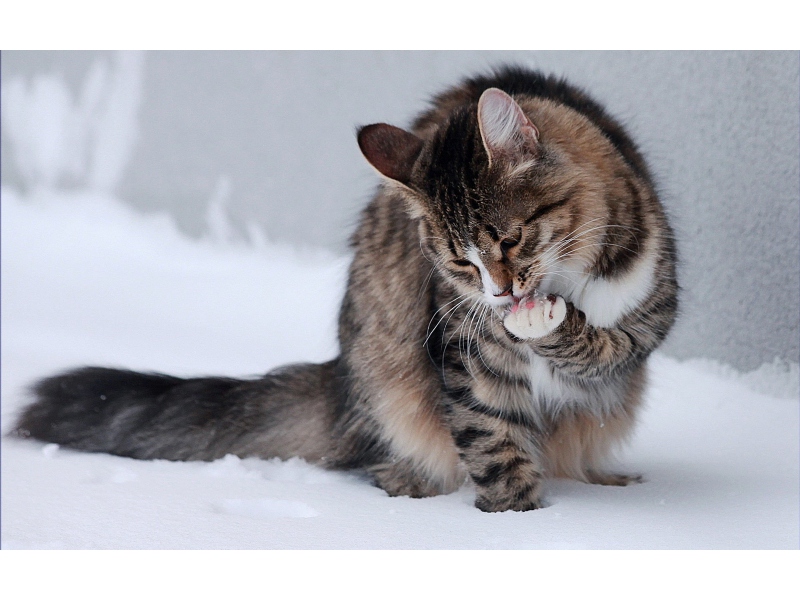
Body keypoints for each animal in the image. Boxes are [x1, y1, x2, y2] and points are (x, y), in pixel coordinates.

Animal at [12, 65, 676, 510]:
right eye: (460, 265)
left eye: (509, 241)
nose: (500, 294)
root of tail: (342, 379)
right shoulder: (465, 355)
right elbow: (492, 444)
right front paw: (517, 520)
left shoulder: (651, 311)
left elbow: (601, 344)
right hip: (389, 380)